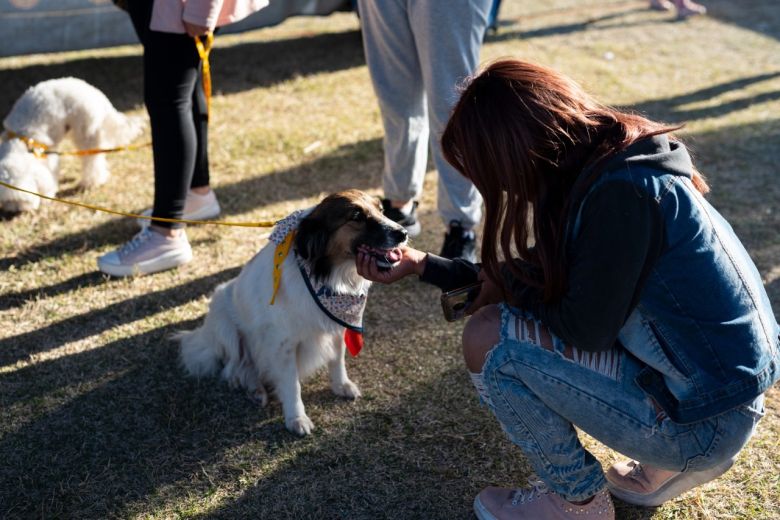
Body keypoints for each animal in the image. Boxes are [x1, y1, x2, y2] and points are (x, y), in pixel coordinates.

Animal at [177, 190, 408, 434]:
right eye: (356, 216)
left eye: (381, 210)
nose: (403, 233)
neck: (323, 275)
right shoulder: (282, 345)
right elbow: (291, 384)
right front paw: (296, 419)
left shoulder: (335, 328)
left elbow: (337, 360)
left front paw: (341, 386)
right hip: (224, 321)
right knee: (235, 367)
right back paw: (254, 388)